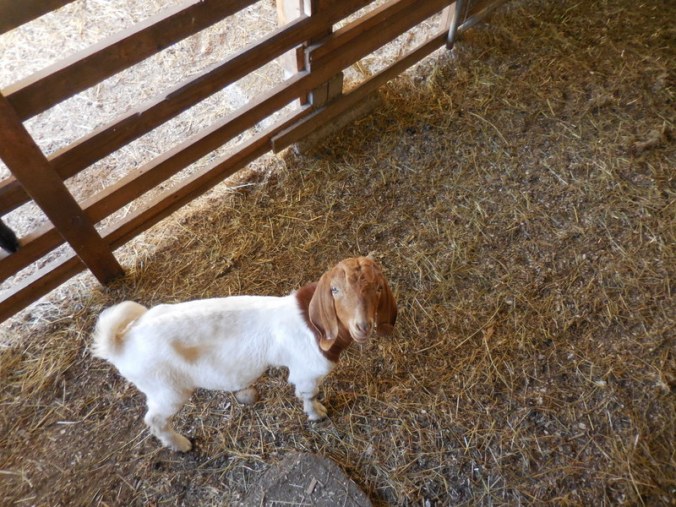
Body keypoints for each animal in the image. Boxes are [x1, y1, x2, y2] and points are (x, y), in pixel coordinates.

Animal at [92, 256, 397, 452]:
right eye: (334, 290)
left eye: (378, 287)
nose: (363, 326)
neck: (312, 324)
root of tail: (122, 343)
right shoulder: (306, 371)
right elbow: (307, 394)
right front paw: (317, 414)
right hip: (165, 387)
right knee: (154, 419)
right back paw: (181, 445)